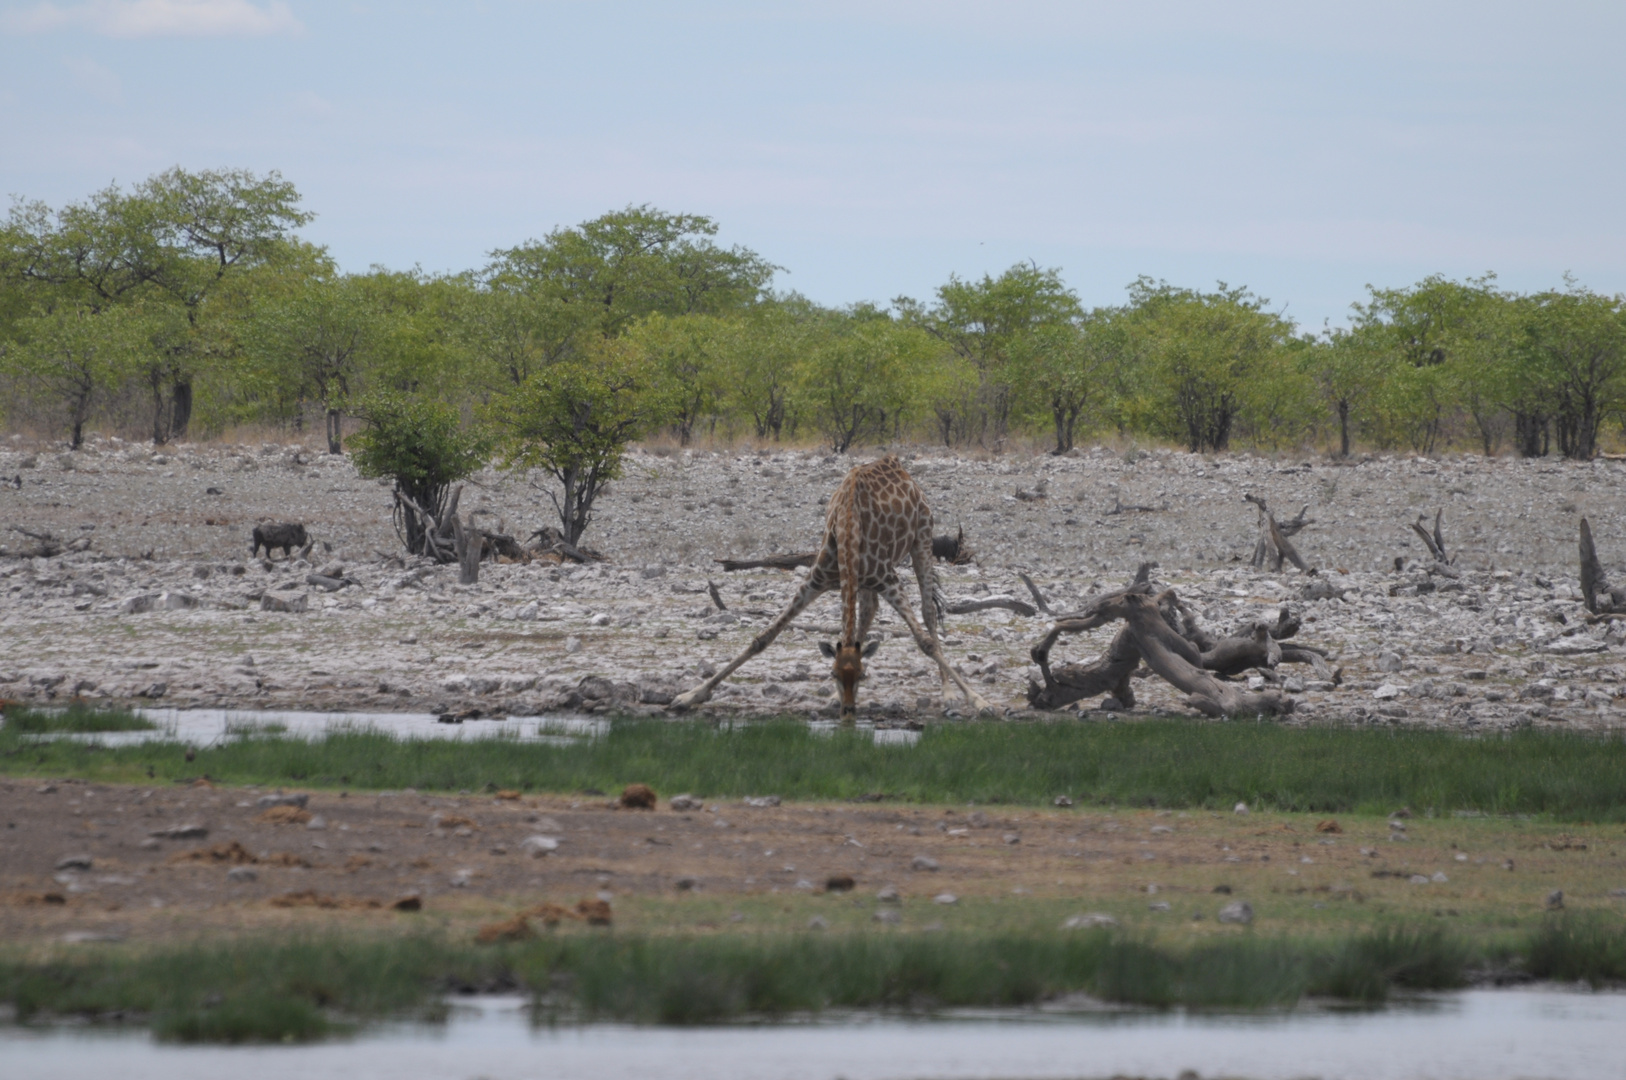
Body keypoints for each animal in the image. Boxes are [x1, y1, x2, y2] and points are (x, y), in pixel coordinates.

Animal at [669, 452, 995, 715]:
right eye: (833, 675)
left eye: (862, 677)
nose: (848, 708)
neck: (849, 528)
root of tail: (900, 467)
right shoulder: (817, 579)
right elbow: (763, 638)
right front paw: (689, 695)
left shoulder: (888, 578)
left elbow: (924, 642)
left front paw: (981, 702)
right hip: (868, 579)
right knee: (869, 610)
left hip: (922, 539)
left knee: (927, 611)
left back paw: (949, 694)